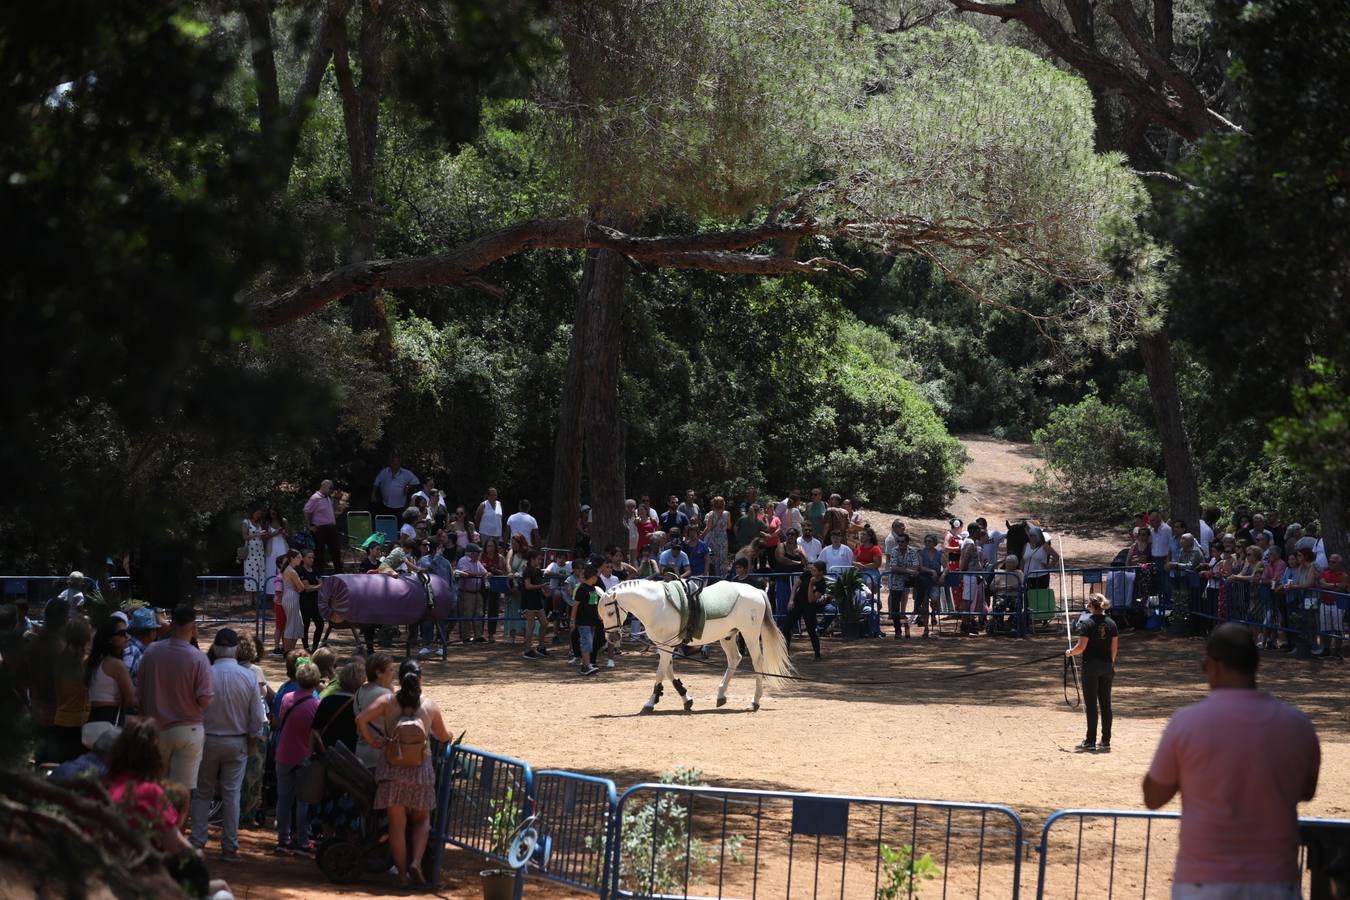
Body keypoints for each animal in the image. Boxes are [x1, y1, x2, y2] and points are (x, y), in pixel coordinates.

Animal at [599, 580, 788, 712]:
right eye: (601, 615)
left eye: (610, 612)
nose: (612, 638)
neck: (658, 605)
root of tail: (757, 591)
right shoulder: (664, 647)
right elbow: (669, 673)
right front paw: (686, 699)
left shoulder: (667, 646)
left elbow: (660, 673)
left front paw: (650, 703)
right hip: (728, 636)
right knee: (735, 659)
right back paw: (721, 695)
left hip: (750, 634)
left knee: (757, 662)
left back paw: (755, 701)